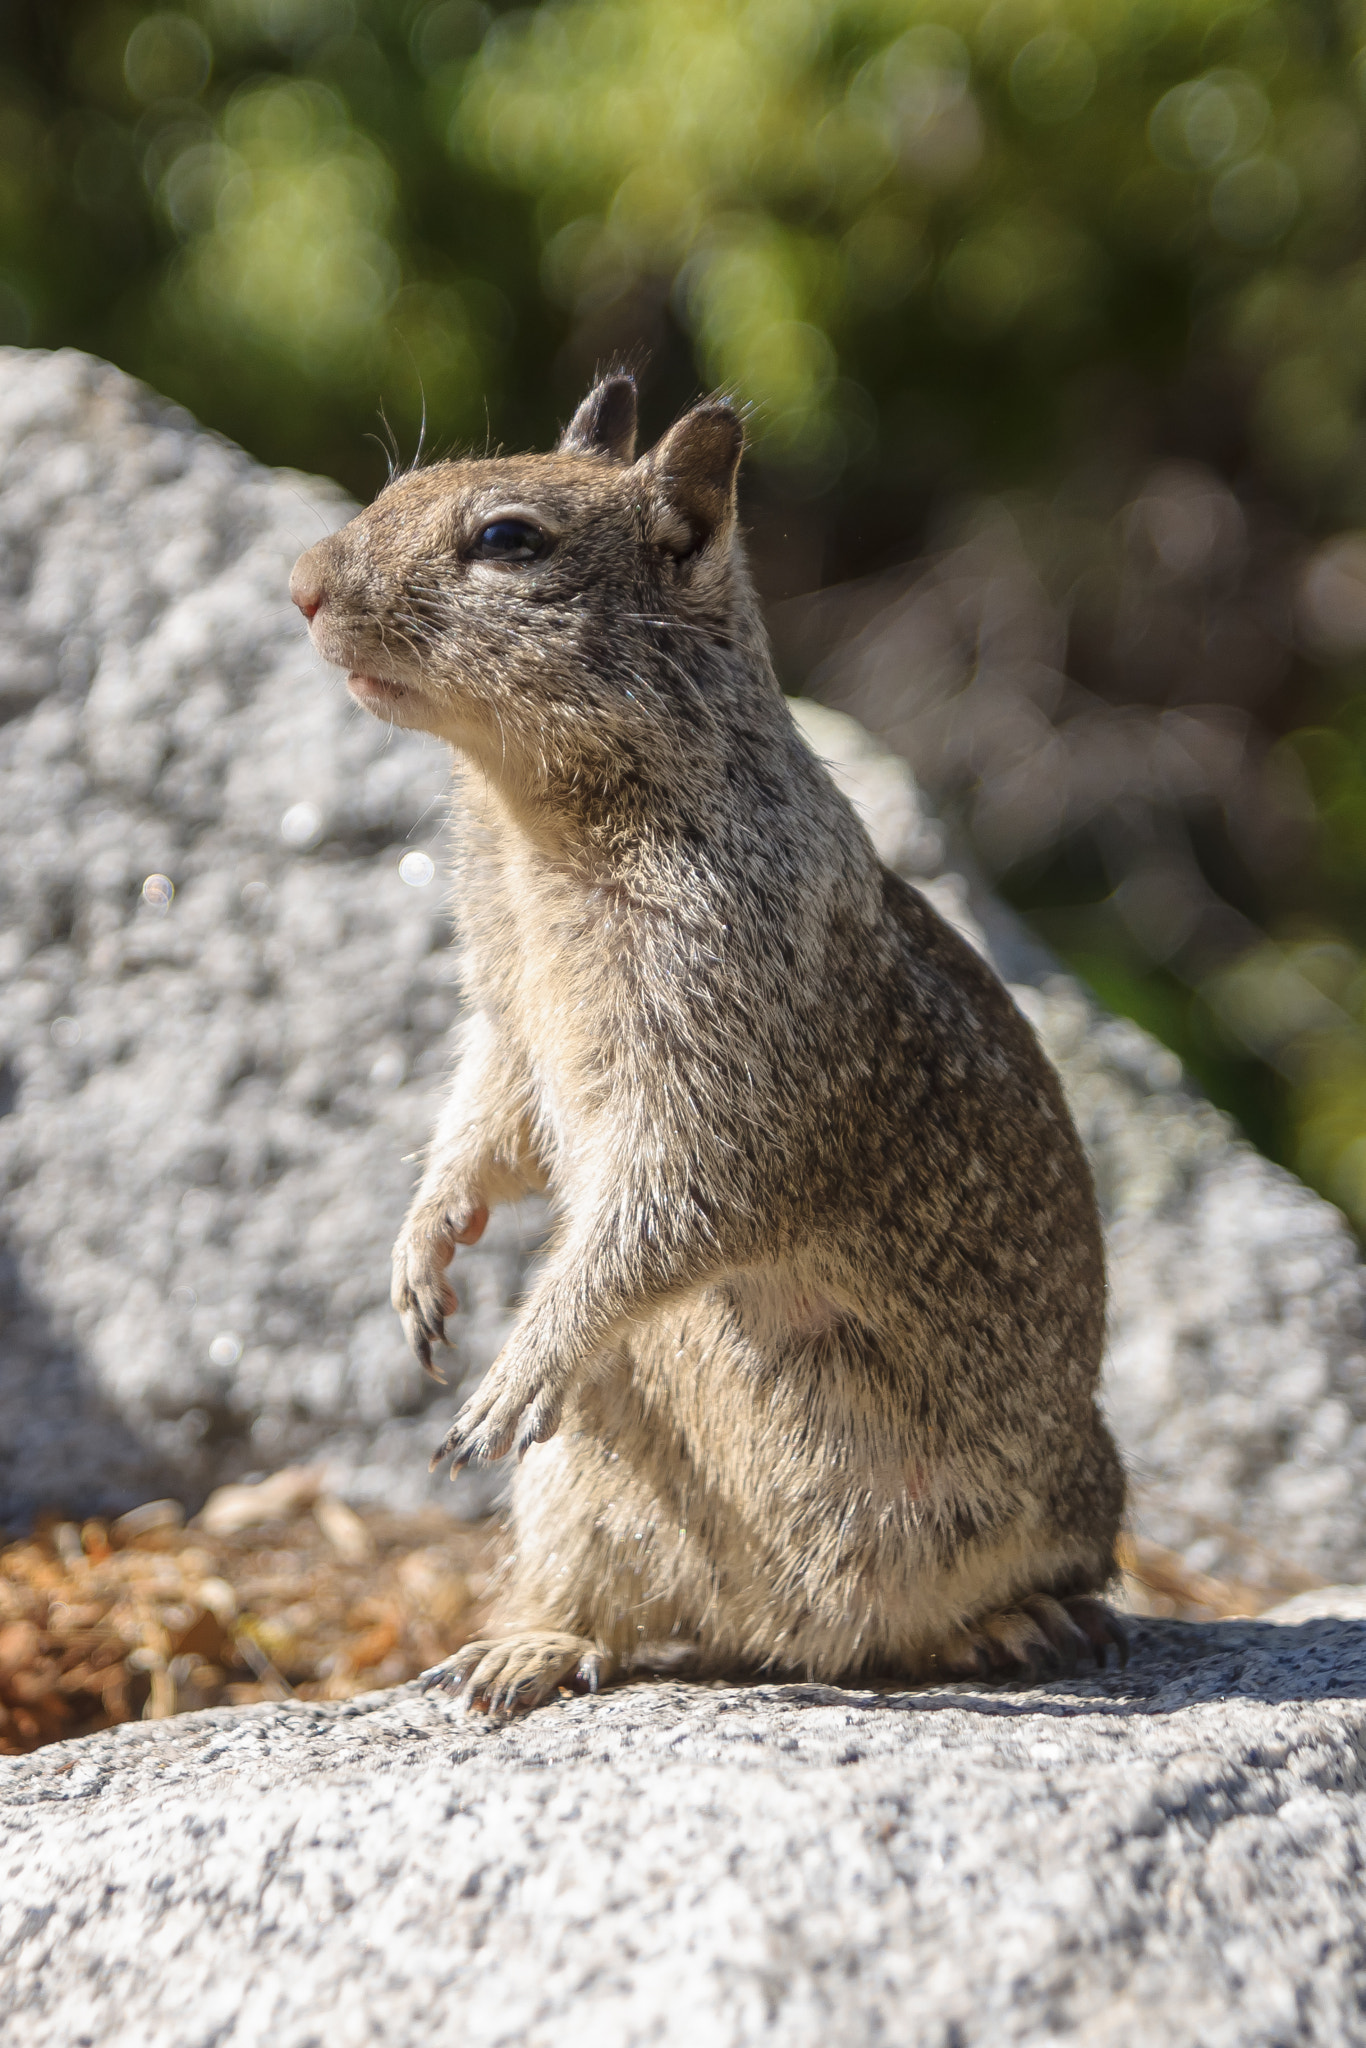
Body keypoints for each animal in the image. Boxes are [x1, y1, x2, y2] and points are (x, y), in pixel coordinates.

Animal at [286, 380, 1122, 1712]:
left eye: (508, 539)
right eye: (398, 483)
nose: (302, 584)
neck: (529, 825)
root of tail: (799, 1643)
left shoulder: (725, 1063)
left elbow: (667, 1208)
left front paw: (519, 1360)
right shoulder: (508, 1022)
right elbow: (483, 1124)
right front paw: (421, 1253)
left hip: (1043, 1501)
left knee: (1038, 1580)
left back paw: (1015, 1623)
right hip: (584, 1492)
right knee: (625, 1613)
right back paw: (528, 1646)